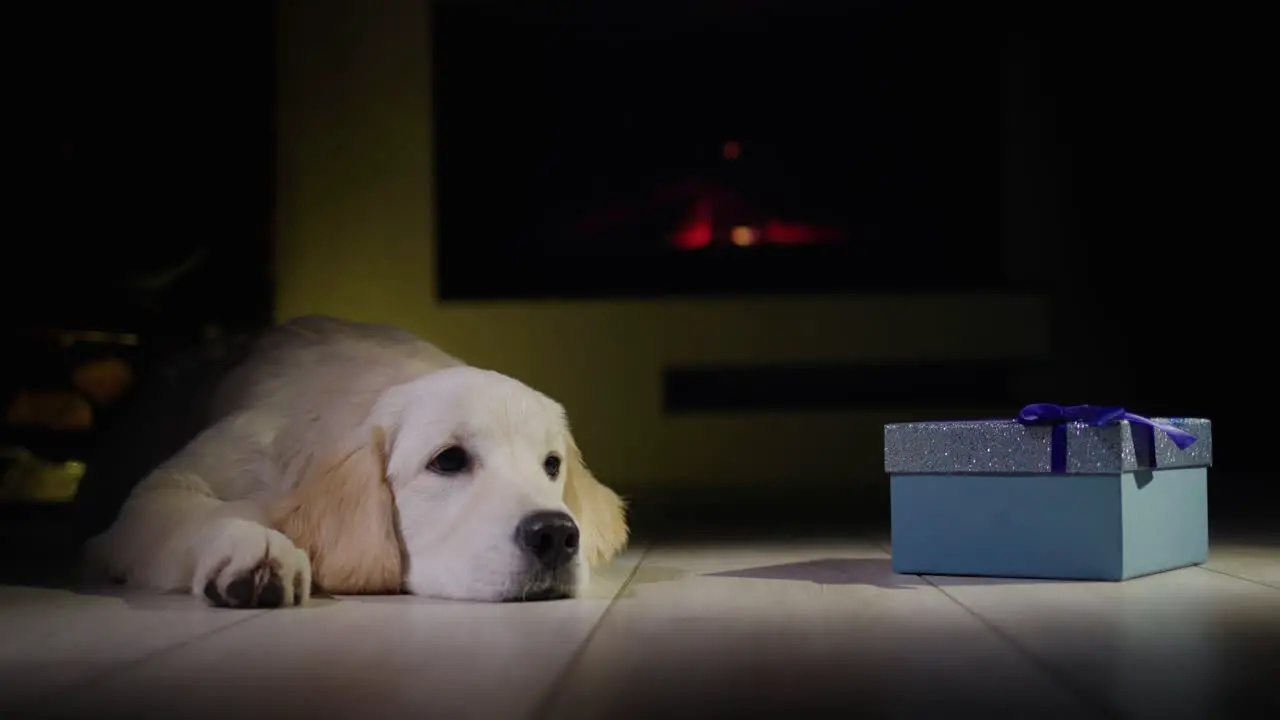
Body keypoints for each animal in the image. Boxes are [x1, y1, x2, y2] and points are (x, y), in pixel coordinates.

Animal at [77, 316, 627, 602]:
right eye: (448, 460)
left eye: (551, 464)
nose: (555, 535)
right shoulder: (160, 492)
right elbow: (192, 508)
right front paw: (256, 547)